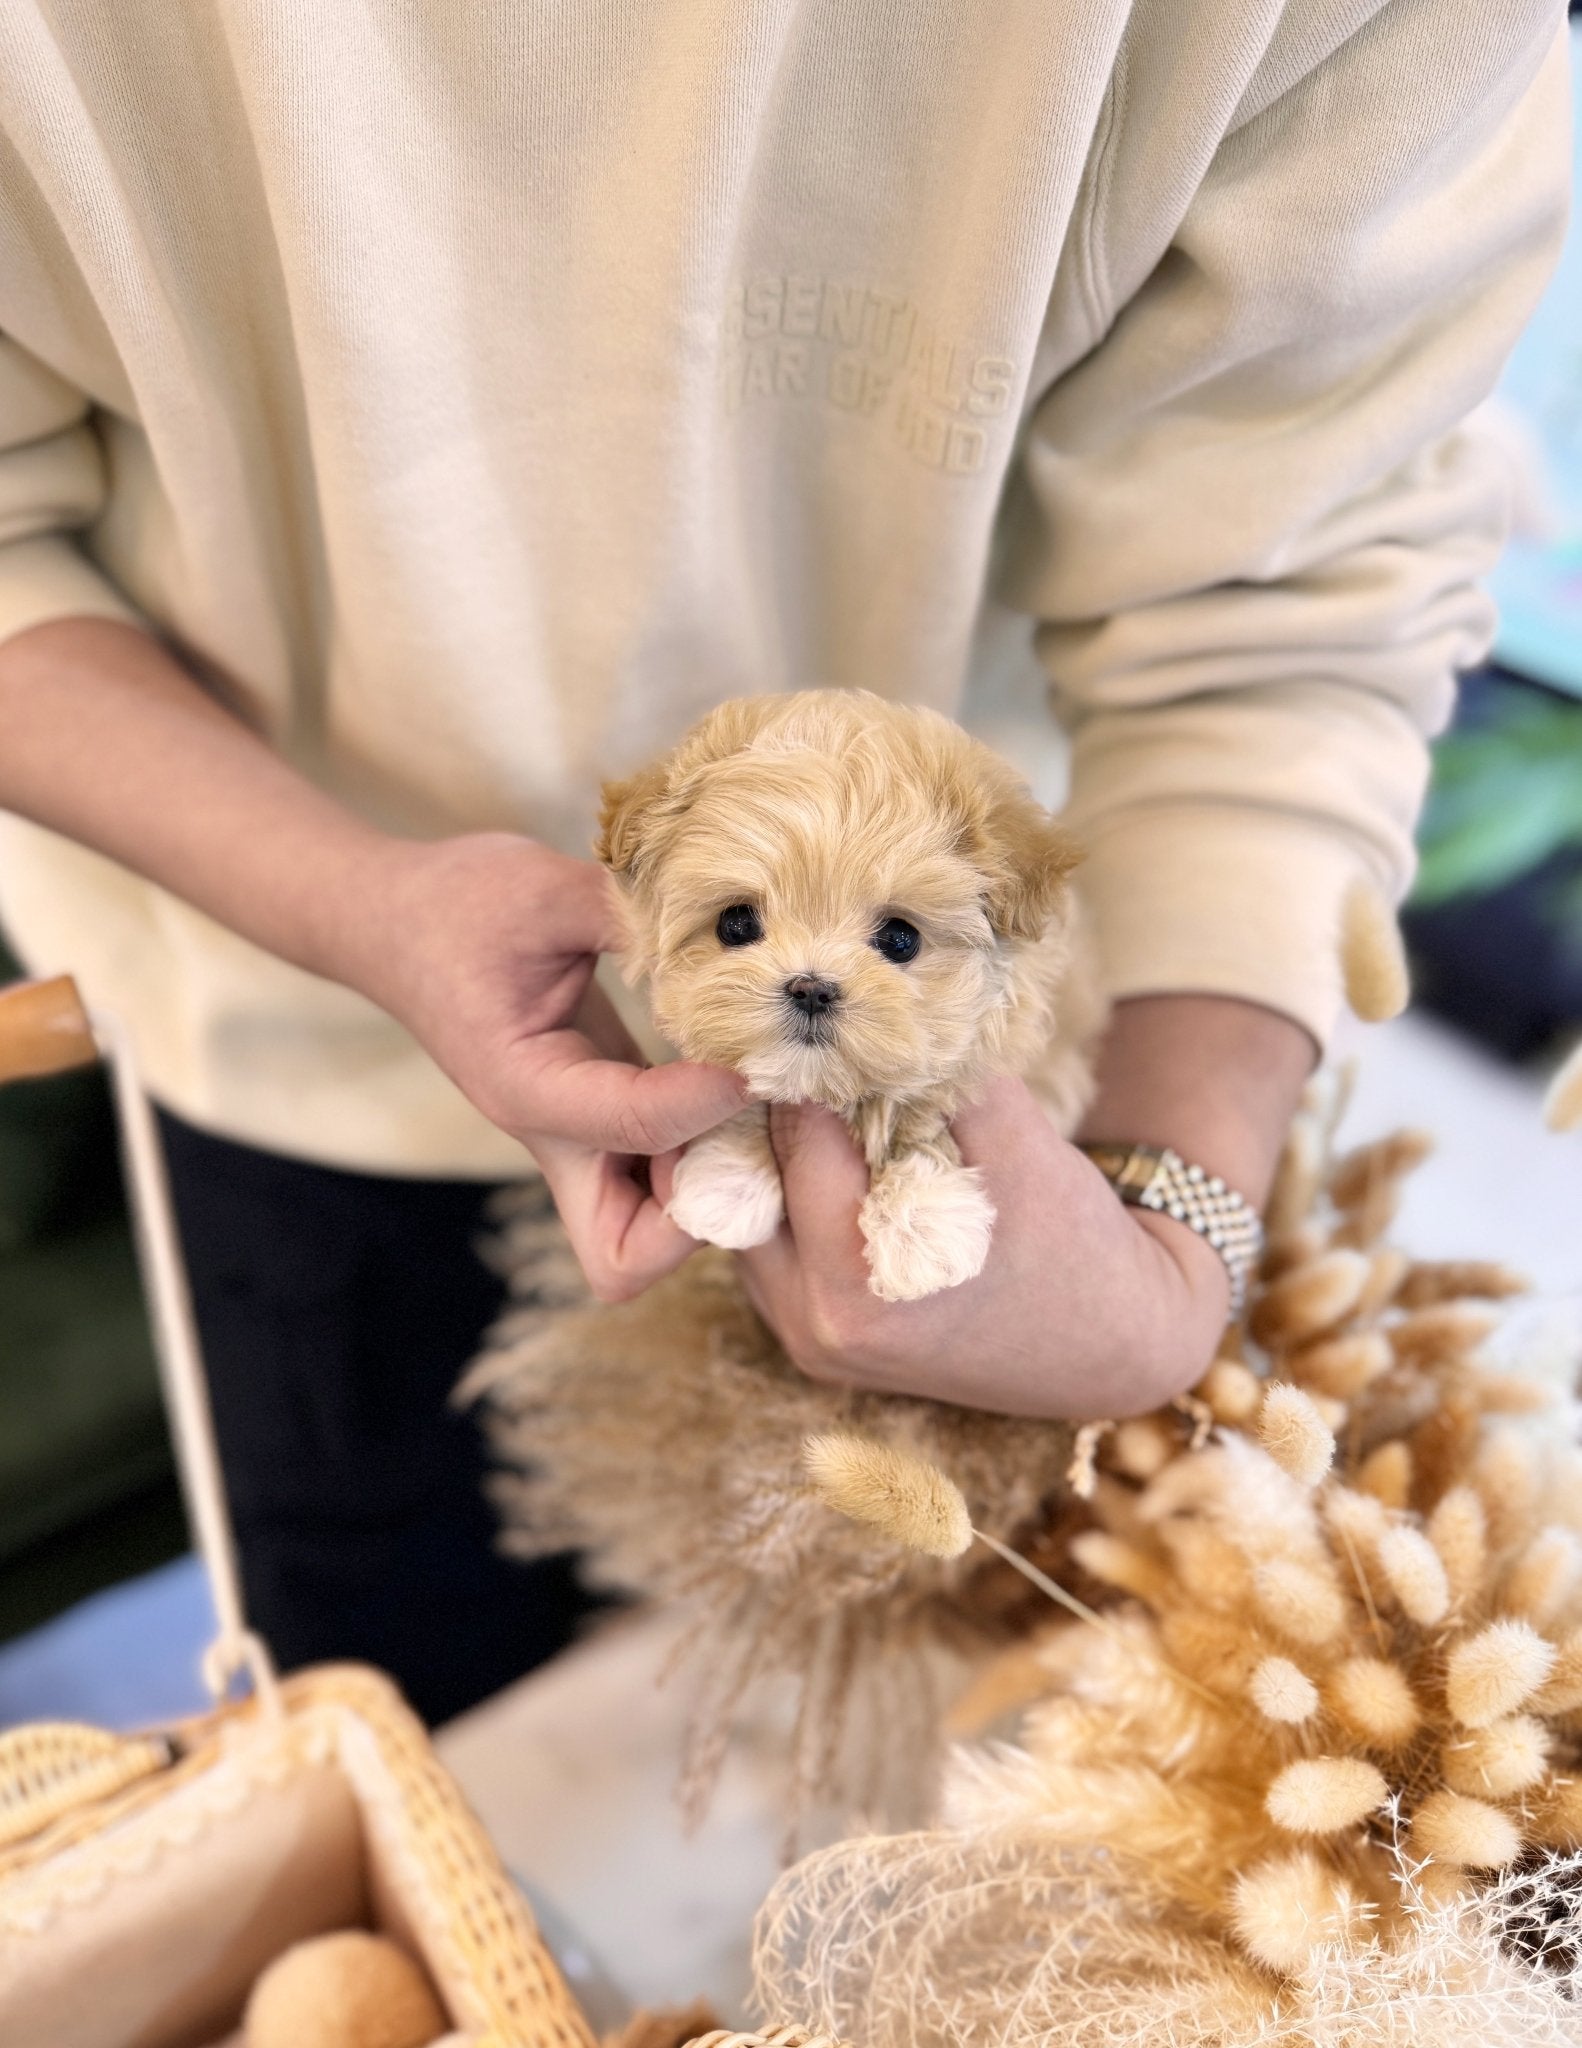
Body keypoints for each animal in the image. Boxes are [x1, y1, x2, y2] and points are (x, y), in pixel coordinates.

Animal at [594, 688, 1098, 1294]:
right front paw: (729, 1176)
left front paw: (922, 1219)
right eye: (735, 925)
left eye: (901, 939)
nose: (811, 988)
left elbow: (927, 1098)